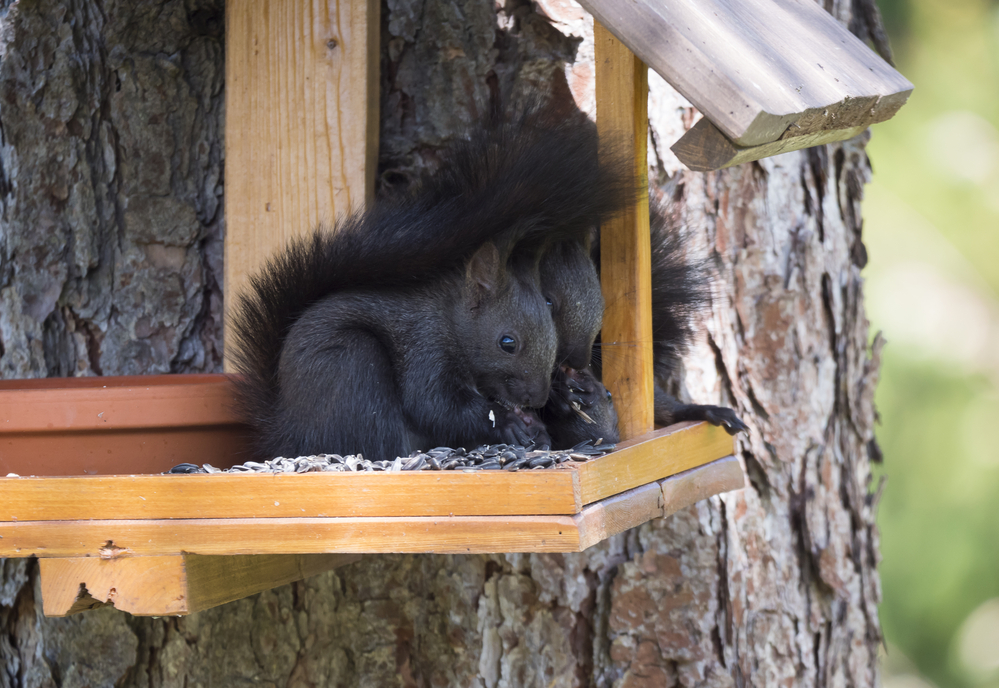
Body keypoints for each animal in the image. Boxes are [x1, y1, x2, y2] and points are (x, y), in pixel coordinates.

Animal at [228, 105, 632, 460]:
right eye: (507, 343)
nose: (536, 397)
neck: (452, 322)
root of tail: (286, 433)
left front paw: (554, 408)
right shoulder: (424, 346)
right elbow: (433, 403)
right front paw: (508, 421)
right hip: (351, 367)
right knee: (376, 443)